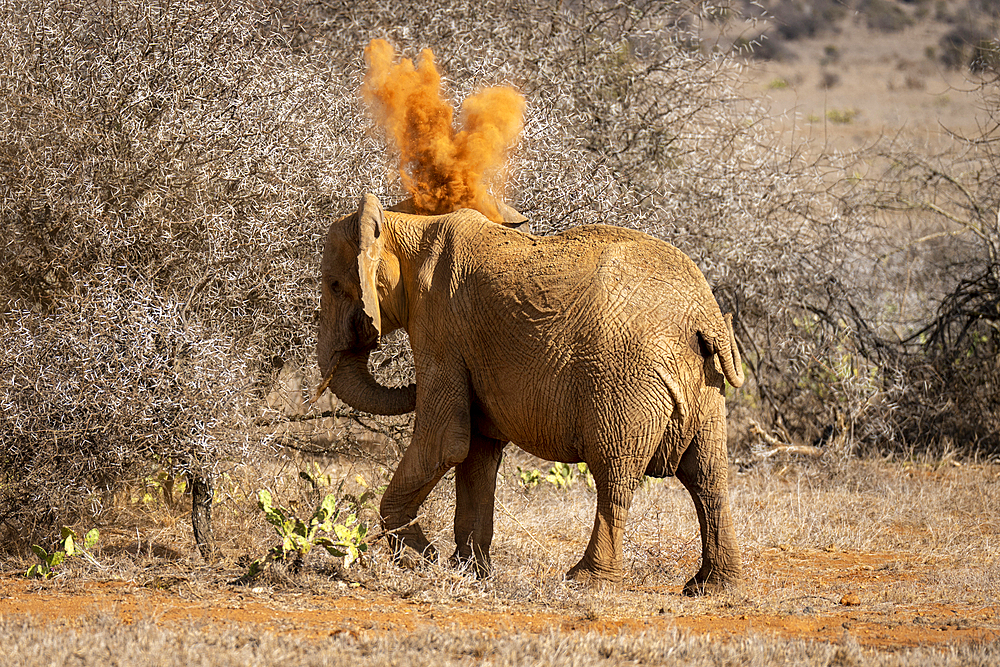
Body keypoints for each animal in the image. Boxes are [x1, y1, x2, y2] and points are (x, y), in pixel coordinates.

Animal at [316, 193, 748, 596]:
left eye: (335, 286)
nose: (409, 384)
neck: (407, 226)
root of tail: (705, 317)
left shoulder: (440, 328)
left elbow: (446, 441)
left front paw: (419, 559)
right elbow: (477, 452)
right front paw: (468, 571)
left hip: (626, 382)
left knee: (615, 474)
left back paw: (586, 581)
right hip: (707, 386)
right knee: (707, 476)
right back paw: (711, 587)